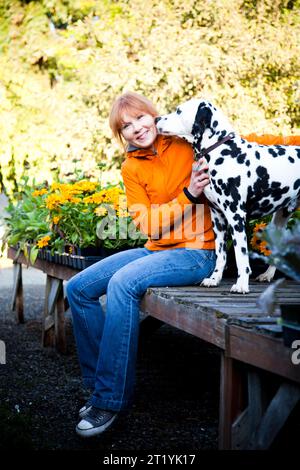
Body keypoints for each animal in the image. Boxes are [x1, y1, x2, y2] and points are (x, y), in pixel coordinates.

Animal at [156, 99, 298, 294]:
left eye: (179, 111)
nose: (156, 119)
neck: (222, 151)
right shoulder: (218, 218)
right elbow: (221, 254)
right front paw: (214, 278)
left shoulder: (236, 217)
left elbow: (241, 255)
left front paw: (242, 284)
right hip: (279, 219)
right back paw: (268, 274)